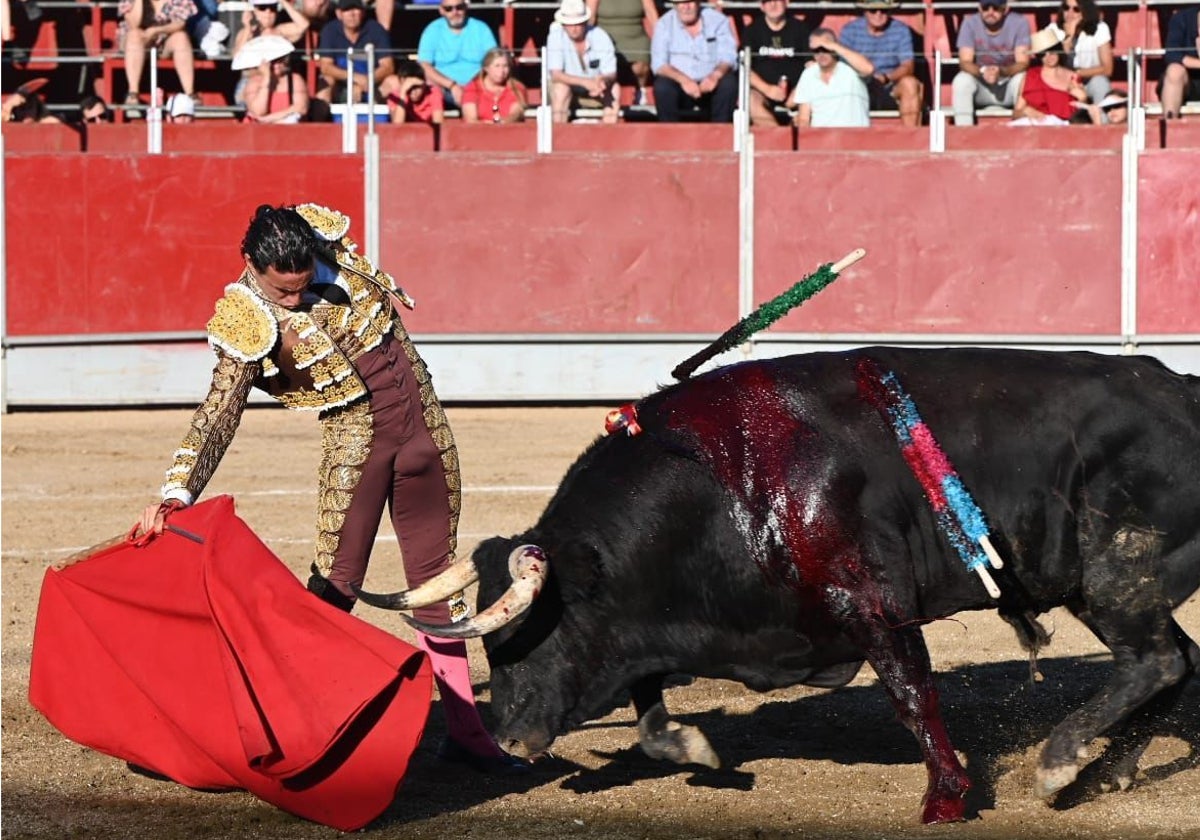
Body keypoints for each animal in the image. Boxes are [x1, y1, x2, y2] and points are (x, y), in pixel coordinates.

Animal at [362, 345, 1200, 820]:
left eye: (534, 634)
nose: (510, 737)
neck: (723, 486)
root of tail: (1182, 389)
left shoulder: (872, 604)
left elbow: (913, 696)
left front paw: (947, 799)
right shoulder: (659, 625)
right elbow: (649, 705)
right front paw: (695, 747)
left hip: (1117, 573)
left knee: (1155, 662)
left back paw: (1060, 763)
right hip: (1113, 586)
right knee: (1170, 664)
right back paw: (1107, 770)